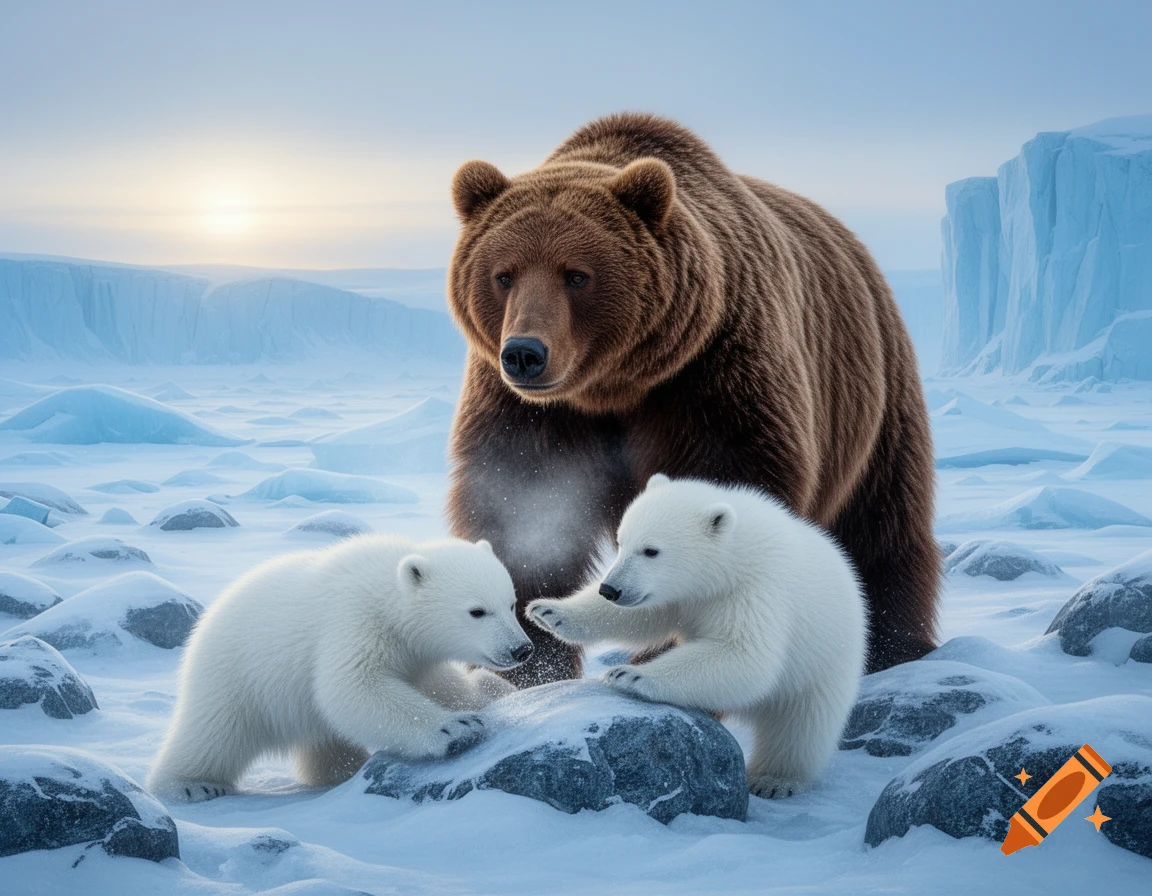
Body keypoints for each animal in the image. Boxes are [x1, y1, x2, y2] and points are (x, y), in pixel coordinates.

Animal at [147, 535, 533, 802]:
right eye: (477, 611)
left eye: (511, 603)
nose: (522, 649)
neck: (388, 592)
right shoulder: (354, 621)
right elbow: (352, 687)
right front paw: (456, 728)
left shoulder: (416, 655)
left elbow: (443, 685)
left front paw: (492, 690)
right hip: (234, 676)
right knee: (214, 733)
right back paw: (192, 785)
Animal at [444, 112, 936, 685]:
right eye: (503, 274)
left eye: (577, 274)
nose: (525, 353)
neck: (613, 387)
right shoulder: (527, 412)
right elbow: (522, 511)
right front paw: (527, 664)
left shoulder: (710, 374)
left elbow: (721, 484)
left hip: (873, 401)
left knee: (881, 530)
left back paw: (891, 647)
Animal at [527, 474, 867, 798]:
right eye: (621, 542)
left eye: (651, 550)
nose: (610, 589)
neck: (734, 556)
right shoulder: (684, 597)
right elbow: (644, 615)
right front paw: (549, 612)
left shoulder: (756, 592)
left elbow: (744, 654)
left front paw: (630, 675)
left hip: (823, 667)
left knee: (801, 728)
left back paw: (774, 780)